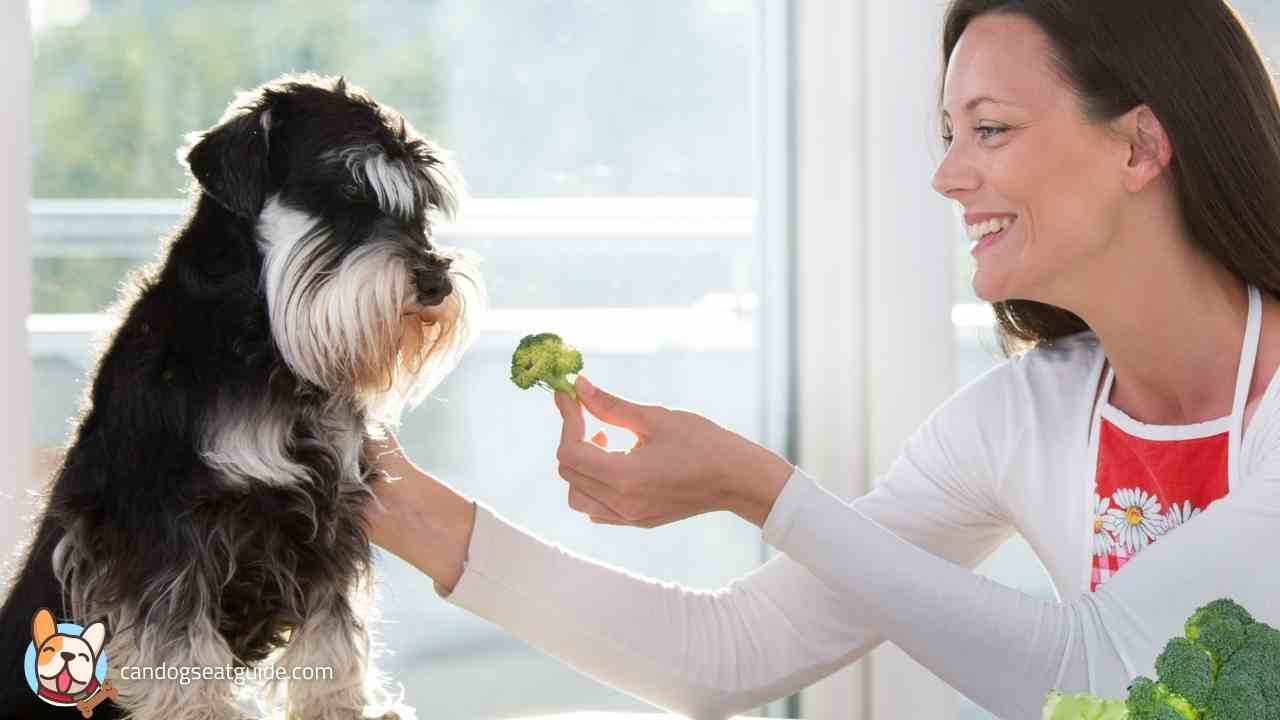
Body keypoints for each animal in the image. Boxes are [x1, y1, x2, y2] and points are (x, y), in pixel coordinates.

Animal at [1, 74, 481, 717]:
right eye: (346, 193)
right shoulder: (166, 525)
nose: (434, 283)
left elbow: (333, 639)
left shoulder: (333, 518)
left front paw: (339, 708)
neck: (259, 339)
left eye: (421, 206)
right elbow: (179, 645)